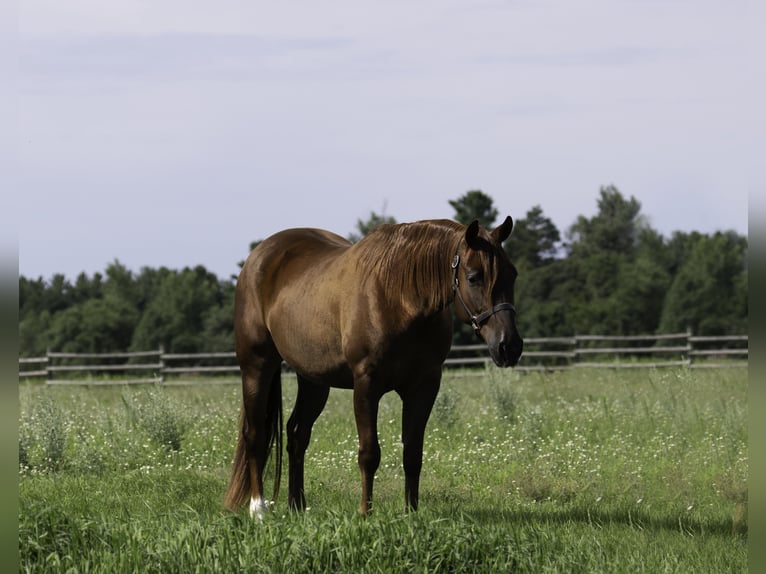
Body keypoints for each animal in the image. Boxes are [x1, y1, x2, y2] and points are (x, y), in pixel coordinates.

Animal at [224, 217, 523, 517]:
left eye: (512, 274)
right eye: (473, 277)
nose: (509, 346)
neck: (399, 297)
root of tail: (258, 256)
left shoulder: (424, 387)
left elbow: (412, 454)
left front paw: (411, 514)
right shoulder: (366, 384)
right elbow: (369, 453)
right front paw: (365, 514)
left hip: (314, 380)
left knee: (297, 434)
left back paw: (297, 507)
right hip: (256, 367)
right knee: (255, 435)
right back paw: (258, 509)